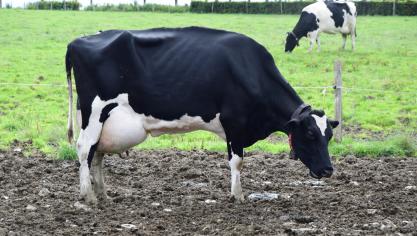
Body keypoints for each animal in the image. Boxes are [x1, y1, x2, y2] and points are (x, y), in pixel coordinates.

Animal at [65, 26, 338, 204]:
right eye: (310, 133)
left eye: (329, 136)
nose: (327, 170)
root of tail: (78, 41)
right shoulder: (234, 123)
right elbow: (237, 161)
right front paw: (238, 196)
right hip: (94, 112)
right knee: (84, 148)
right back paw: (88, 196)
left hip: (100, 120)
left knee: (97, 154)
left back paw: (103, 194)